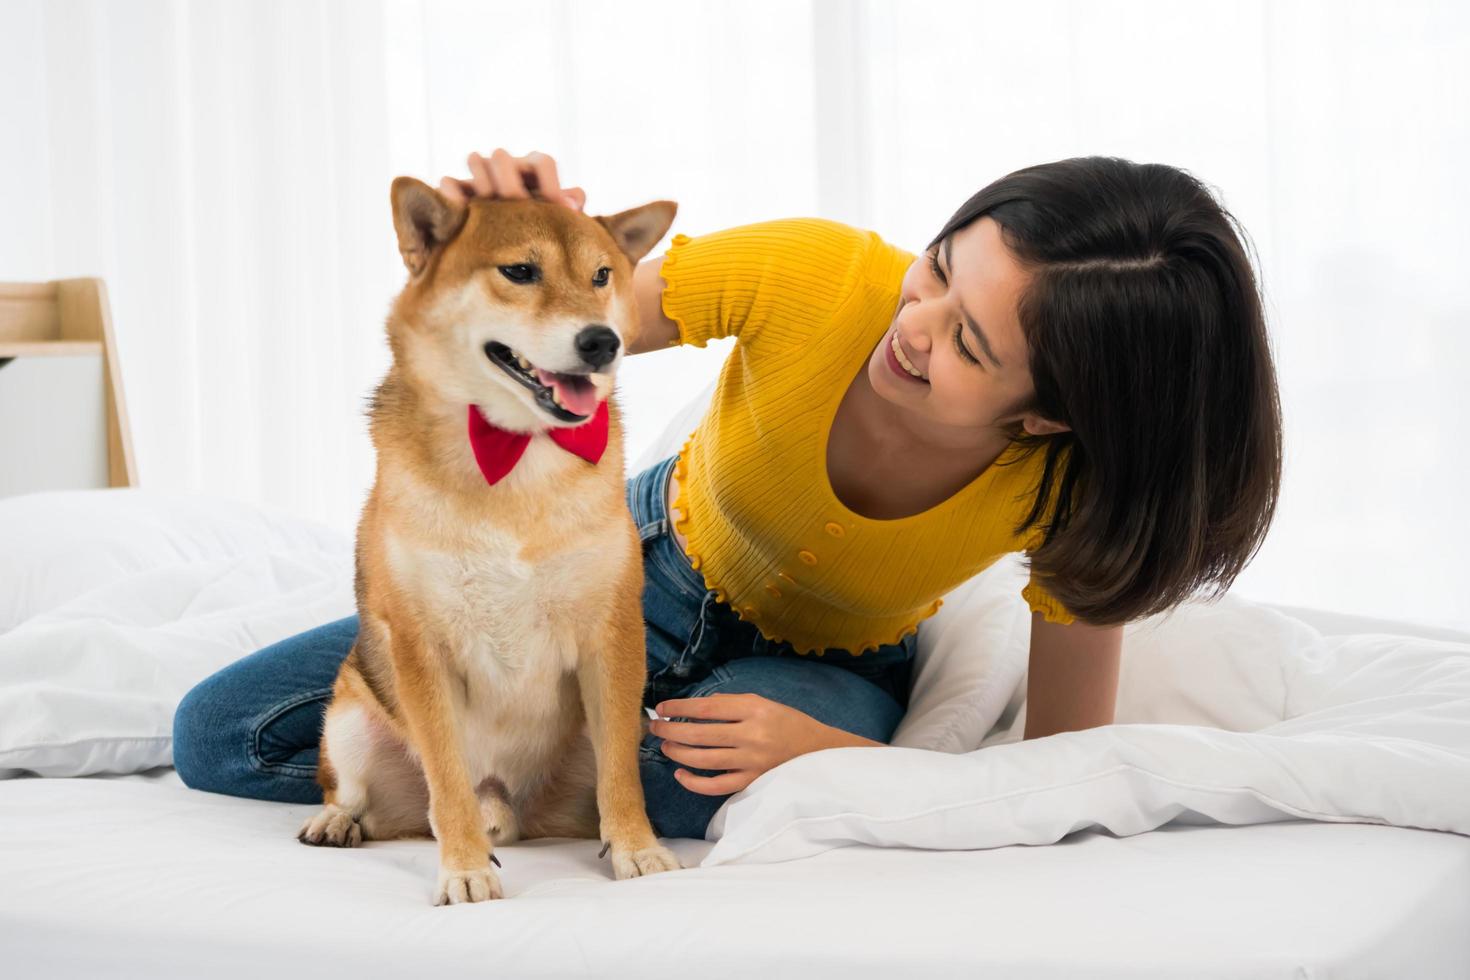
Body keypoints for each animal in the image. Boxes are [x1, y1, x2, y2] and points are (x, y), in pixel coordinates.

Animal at [299, 176, 687, 905]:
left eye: (601, 276)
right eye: (520, 272)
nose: (602, 342)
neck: (515, 456)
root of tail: (506, 806)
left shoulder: (612, 633)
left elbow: (622, 776)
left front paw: (637, 849)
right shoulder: (419, 645)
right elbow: (446, 783)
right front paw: (465, 869)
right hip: (350, 719)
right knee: (367, 799)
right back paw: (338, 821)